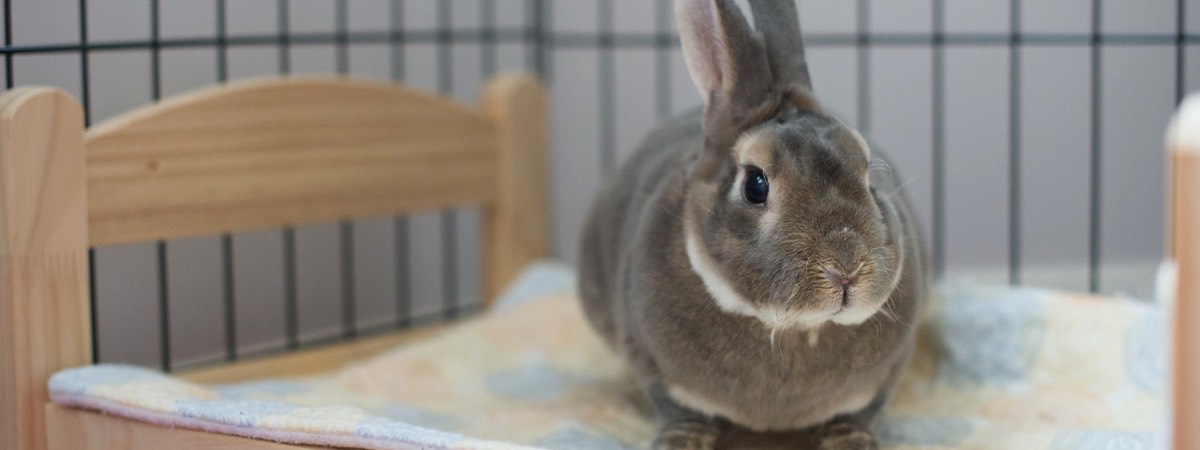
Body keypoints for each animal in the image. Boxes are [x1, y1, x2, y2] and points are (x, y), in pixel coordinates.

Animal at [578, 0, 926, 450]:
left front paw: (852, 440)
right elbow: (676, 409)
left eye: (868, 176)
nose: (847, 270)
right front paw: (680, 441)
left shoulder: (888, 372)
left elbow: (864, 410)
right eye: (755, 185)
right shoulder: (649, 360)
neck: (793, 329)